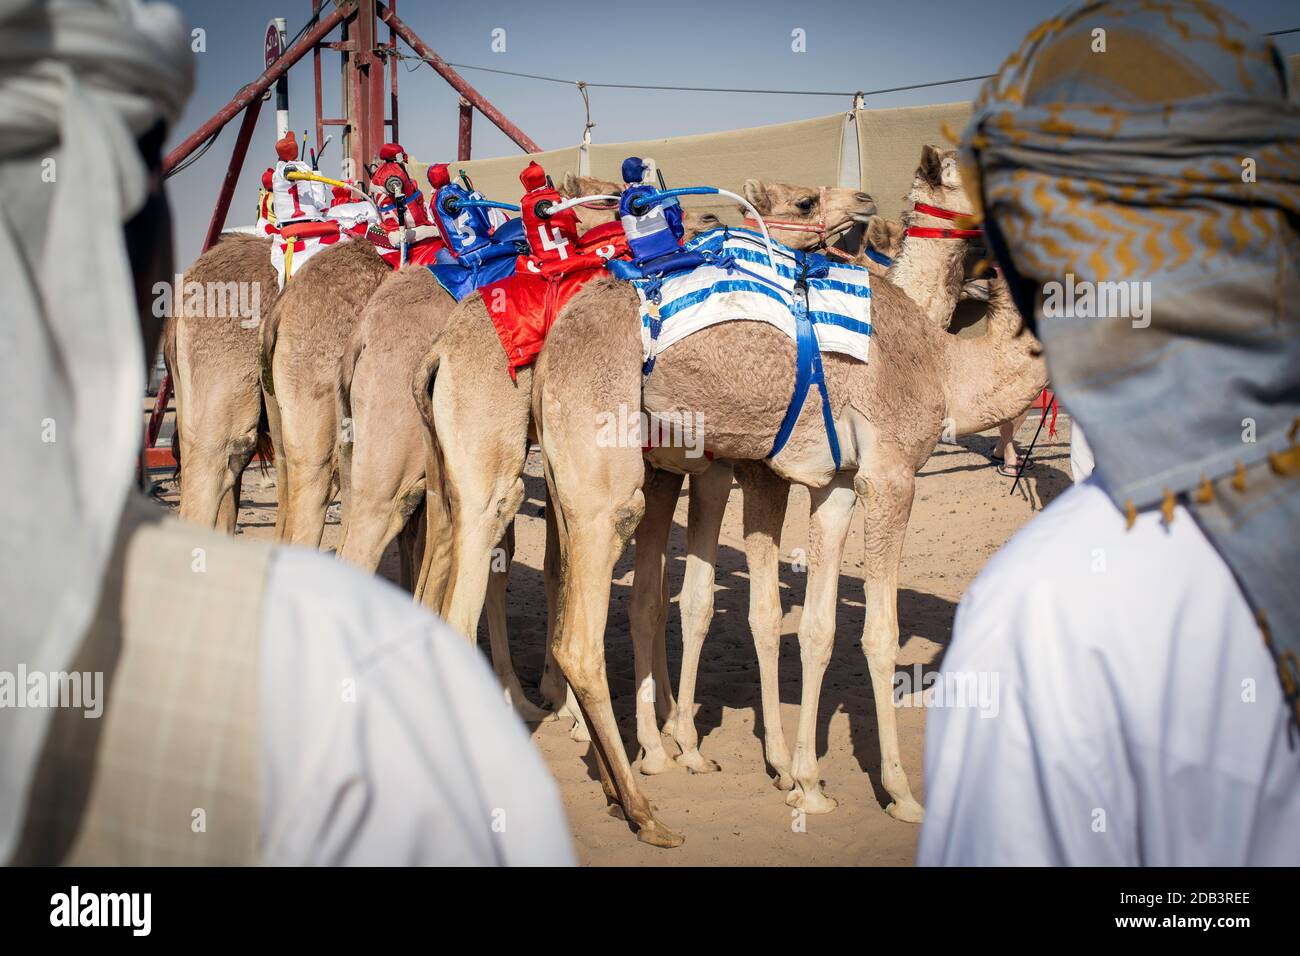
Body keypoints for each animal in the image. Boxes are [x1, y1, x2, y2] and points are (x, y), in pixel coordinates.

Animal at [532, 145, 1046, 846]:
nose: (863, 200)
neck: (946, 366)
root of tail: (552, 350)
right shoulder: (888, 474)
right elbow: (875, 633)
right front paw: (901, 793)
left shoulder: (837, 484)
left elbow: (819, 627)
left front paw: (808, 783)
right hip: (605, 476)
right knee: (581, 636)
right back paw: (644, 806)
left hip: (591, 476)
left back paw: (627, 772)